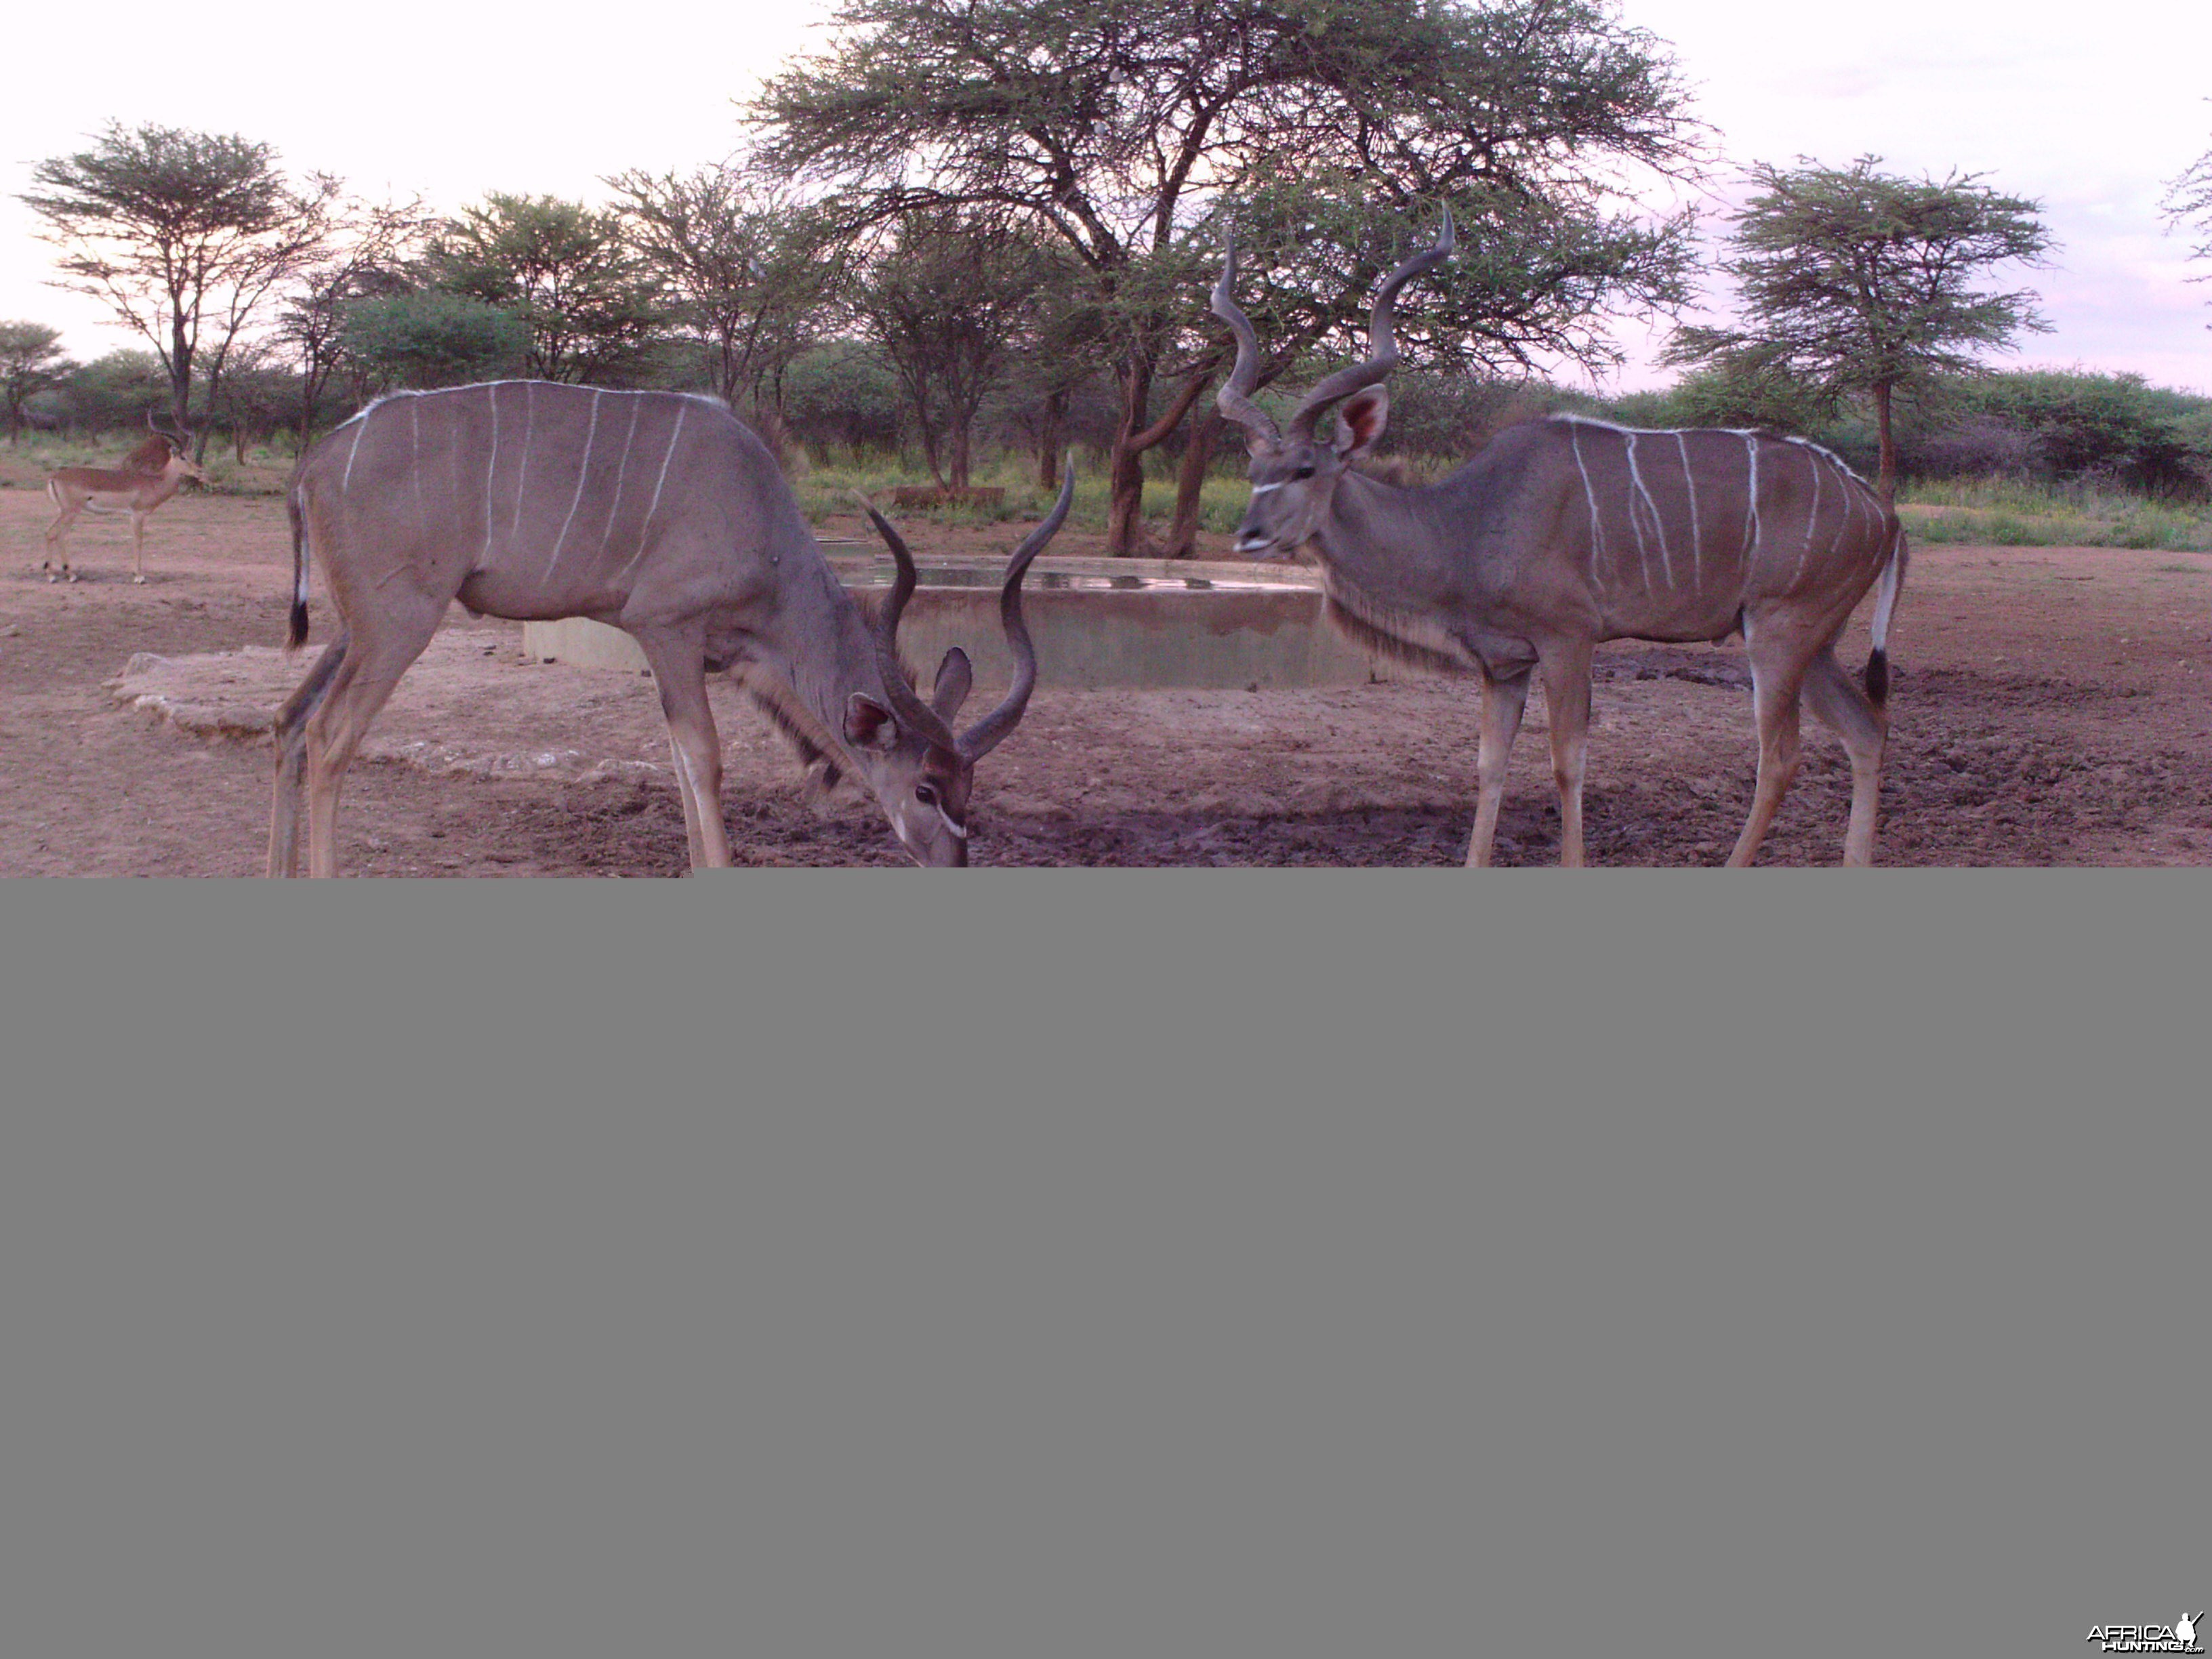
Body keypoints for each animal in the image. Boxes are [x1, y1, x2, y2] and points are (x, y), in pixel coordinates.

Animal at [274, 382, 1070, 876]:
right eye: (927, 790)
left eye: (972, 785)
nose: (952, 864)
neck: (762, 523)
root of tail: (312, 463)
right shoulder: (667, 631)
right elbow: (706, 763)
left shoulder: (688, 654)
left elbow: (683, 766)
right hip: (399, 625)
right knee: (330, 736)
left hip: (359, 630)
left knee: (289, 720)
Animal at [1203, 211, 1911, 872]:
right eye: (1254, 471)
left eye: (1305, 469)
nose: (1249, 536)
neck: (1466, 522)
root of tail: (1884, 514)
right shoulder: (1505, 664)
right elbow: (1489, 765)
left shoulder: (1568, 640)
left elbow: (1567, 764)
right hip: (1808, 643)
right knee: (1867, 731)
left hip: (1779, 633)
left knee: (1782, 756)